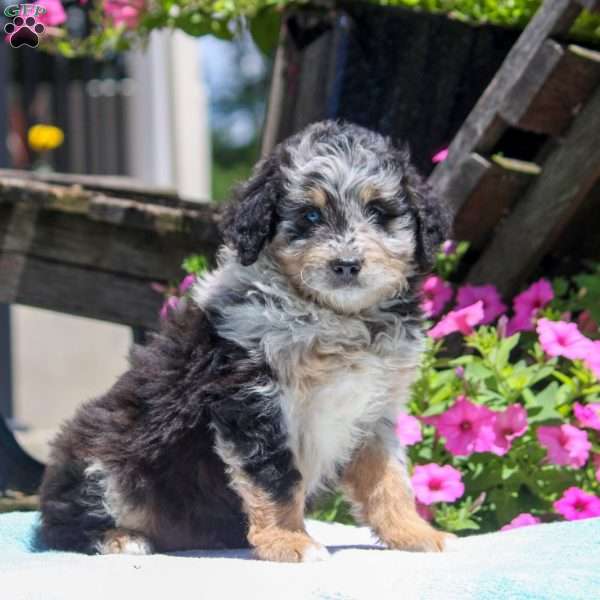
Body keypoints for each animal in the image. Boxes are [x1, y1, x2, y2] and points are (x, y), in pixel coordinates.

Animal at [39, 119, 452, 560]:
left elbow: (389, 479)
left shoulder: (374, 411)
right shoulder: (252, 399)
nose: (346, 265)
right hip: (104, 462)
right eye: (310, 215)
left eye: (378, 212)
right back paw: (120, 537)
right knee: (61, 525)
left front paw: (414, 533)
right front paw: (290, 541)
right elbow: (275, 477)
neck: (336, 317)